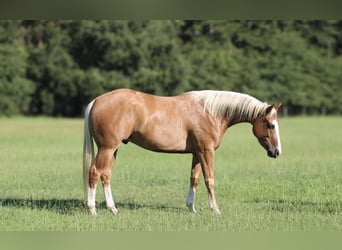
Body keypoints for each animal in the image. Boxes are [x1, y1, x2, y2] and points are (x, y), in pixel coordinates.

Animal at [83, 88, 280, 215]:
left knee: (106, 175)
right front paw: (215, 209)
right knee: (94, 172)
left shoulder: (197, 153)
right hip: (107, 148)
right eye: (270, 125)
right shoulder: (206, 151)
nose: (276, 152)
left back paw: (112, 209)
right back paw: (92, 209)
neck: (210, 112)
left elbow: (195, 179)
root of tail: (97, 100)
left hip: (113, 150)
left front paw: (191, 208)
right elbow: (209, 180)